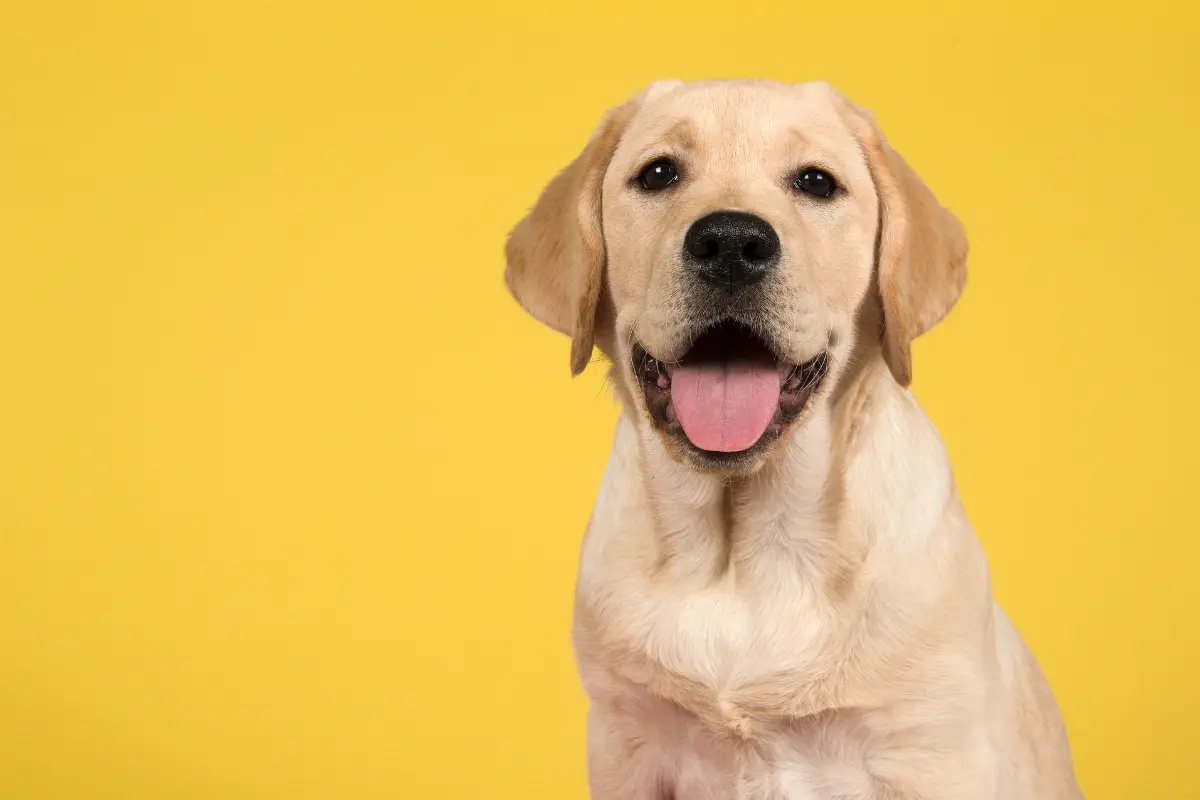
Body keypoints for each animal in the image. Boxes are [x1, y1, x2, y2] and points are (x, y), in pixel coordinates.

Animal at [501, 79, 1084, 800]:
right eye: (659, 173)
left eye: (816, 182)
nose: (730, 243)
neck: (743, 559)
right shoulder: (625, 739)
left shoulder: (931, 749)